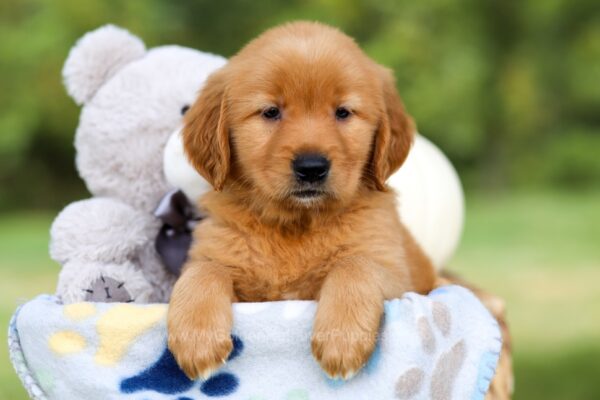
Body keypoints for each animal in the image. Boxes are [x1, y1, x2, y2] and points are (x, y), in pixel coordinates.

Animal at [169, 21, 436, 382]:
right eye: (271, 112)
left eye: (343, 112)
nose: (312, 167)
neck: (297, 225)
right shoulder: (220, 256)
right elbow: (204, 270)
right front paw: (196, 337)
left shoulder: (396, 273)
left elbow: (354, 264)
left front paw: (342, 338)